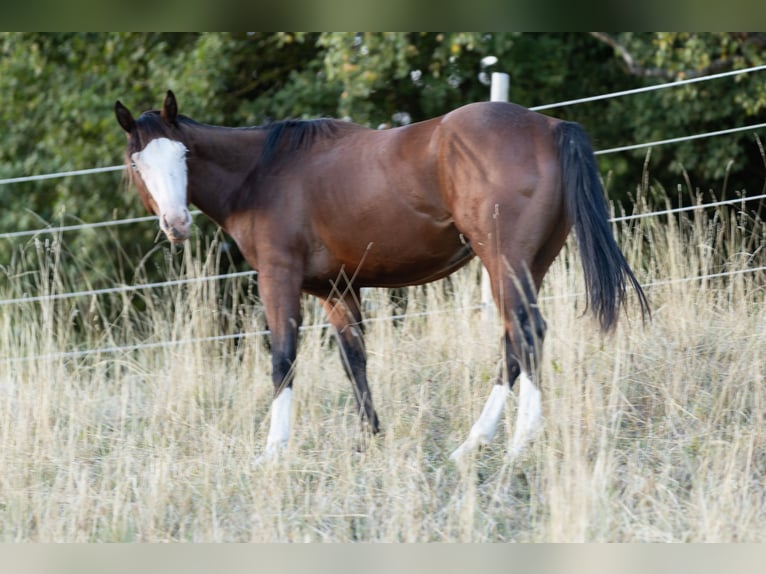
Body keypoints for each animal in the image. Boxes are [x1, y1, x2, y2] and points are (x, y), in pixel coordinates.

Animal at [115, 90, 650, 464]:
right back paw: (471, 446)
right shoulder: (335, 289)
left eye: (183, 156)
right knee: (511, 344)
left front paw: (272, 451)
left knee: (528, 334)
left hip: (505, 261)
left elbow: (283, 359)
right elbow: (354, 360)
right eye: (138, 162)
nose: (176, 224)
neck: (262, 174)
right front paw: (370, 438)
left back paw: (519, 445)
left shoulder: (279, 277)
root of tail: (552, 124)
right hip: (528, 266)